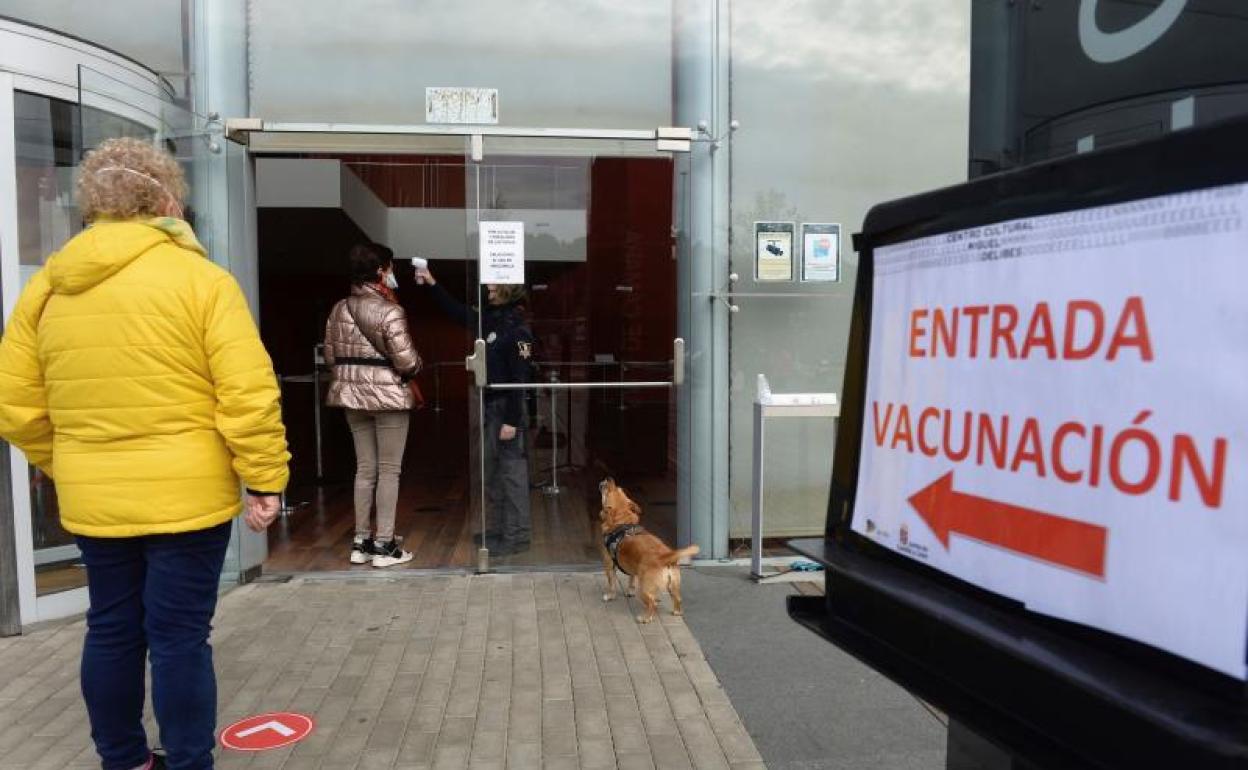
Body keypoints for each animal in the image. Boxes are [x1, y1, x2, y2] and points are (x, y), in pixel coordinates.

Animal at [596, 476, 698, 621]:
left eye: (608, 492)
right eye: (619, 488)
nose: (609, 478)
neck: (622, 522)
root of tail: (666, 557)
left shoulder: (609, 564)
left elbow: (611, 583)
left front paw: (610, 596)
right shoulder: (631, 567)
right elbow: (631, 579)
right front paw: (630, 591)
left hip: (644, 588)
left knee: (652, 603)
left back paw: (645, 618)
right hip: (674, 586)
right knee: (677, 598)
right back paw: (676, 612)